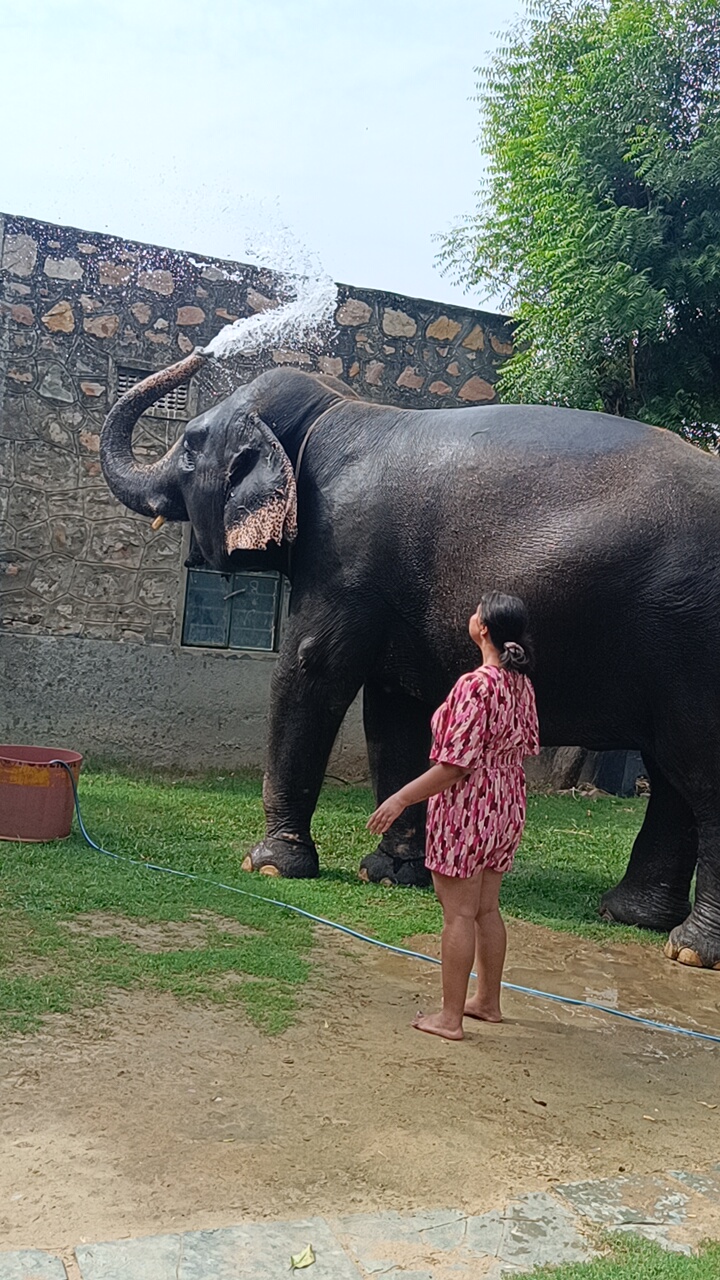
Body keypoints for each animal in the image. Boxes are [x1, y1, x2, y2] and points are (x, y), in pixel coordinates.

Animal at [100, 351, 720, 969]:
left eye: (189, 446)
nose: (201, 354)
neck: (332, 409)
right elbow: (393, 711)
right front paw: (389, 874)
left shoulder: (344, 558)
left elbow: (312, 671)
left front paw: (270, 865)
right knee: (671, 774)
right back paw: (629, 916)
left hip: (693, 638)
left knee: (697, 771)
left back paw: (690, 950)